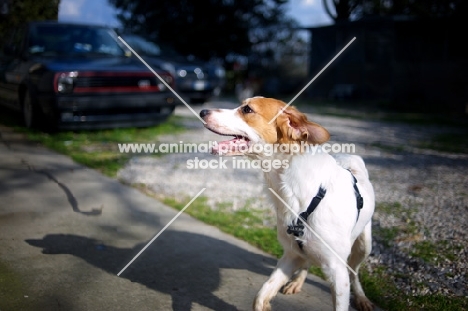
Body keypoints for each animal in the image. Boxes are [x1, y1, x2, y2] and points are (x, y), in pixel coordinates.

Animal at [199, 97, 374, 311]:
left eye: (247, 109)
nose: (203, 111)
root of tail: (351, 159)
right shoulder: (290, 255)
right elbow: (260, 296)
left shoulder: (338, 271)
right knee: (307, 262)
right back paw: (297, 282)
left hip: (364, 245)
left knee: (354, 272)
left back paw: (361, 298)